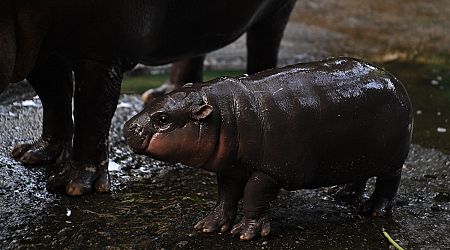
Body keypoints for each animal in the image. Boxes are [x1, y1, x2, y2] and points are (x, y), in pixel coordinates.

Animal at [0, 0, 298, 195]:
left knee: (264, 44)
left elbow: (91, 111)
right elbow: (54, 96)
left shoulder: (101, 54)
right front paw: (32, 154)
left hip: (276, 11)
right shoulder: (38, 50)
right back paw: (163, 93)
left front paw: (73, 186)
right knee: (195, 45)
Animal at [122, 56, 412, 240]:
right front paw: (209, 226)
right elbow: (225, 196)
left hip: (392, 158)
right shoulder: (231, 168)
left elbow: (253, 194)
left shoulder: (270, 171)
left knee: (389, 182)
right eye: (154, 100)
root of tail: (393, 79)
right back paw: (340, 193)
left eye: (163, 119)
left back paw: (373, 211)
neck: (226, 114)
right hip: (358, 153)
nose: (128, 127)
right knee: (359, 174)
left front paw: (244, 233)